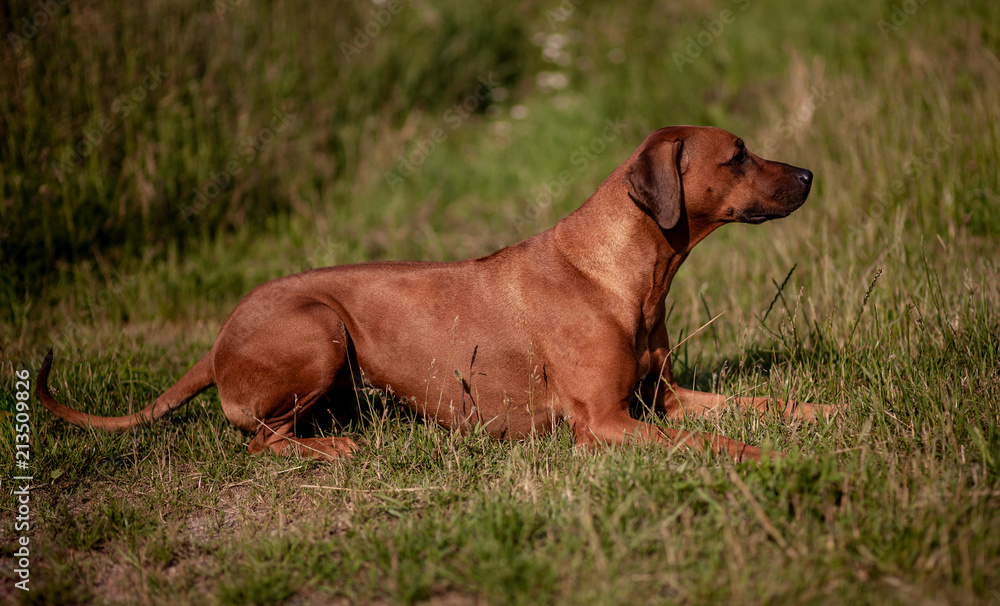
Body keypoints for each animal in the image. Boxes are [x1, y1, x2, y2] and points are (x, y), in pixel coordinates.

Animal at [39, 126, 824, 464]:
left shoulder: (662, 399)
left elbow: (759, 404)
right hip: (318, 326)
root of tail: (217, 342)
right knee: (261, 439)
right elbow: (717, 439)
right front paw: (776, 460)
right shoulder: (606, 423)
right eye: (738, 157)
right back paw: (331, 450)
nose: (810, 175)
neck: (621, 271)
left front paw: (827, 414)